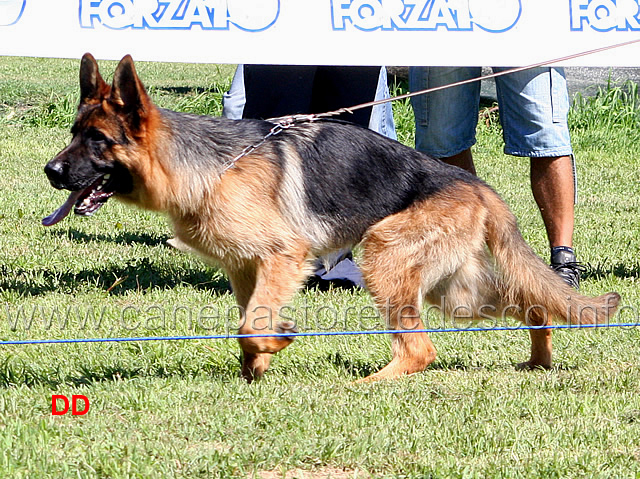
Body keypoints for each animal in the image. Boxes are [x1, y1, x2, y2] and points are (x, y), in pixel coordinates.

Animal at [43, 53, 620, 382]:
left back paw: (375, 382)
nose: (50, 171)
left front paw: (276, 343)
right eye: (74, 133)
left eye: (98, 140)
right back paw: (539, 358)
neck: (206, 164)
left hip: (384, 258)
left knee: (422, 348)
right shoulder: (246, 268)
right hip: (452, 292)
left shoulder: (283, 257)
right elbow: (247, 322)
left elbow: (251, 326)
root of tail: (479, 187)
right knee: (531, 305)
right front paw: (256, 369)